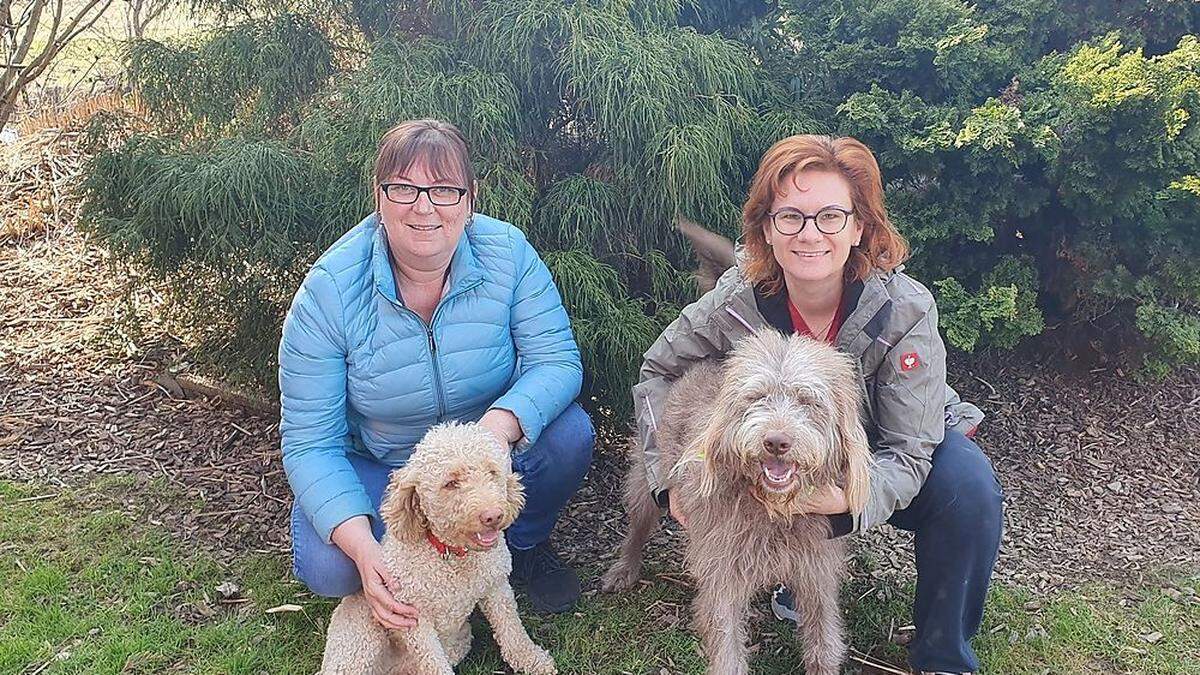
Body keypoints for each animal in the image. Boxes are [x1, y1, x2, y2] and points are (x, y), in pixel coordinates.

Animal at [321, 420, 559, 672]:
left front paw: (532, 659)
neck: (453, 555)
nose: (493, 516)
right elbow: (434, 662)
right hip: (359, 642)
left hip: (457, 643)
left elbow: (512, 630)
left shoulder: (496, 587)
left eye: (492, 472)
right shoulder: (414, 618)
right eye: (451, 483)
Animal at [600, 329, 873, 672]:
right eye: (756, 397)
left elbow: (823, 640)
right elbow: (727, 644)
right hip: (647, 477)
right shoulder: (722, 572)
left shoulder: (815, 571)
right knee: (638, 525)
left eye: (808, 400)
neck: (772, 510)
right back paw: (624, 569)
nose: (776, 442)